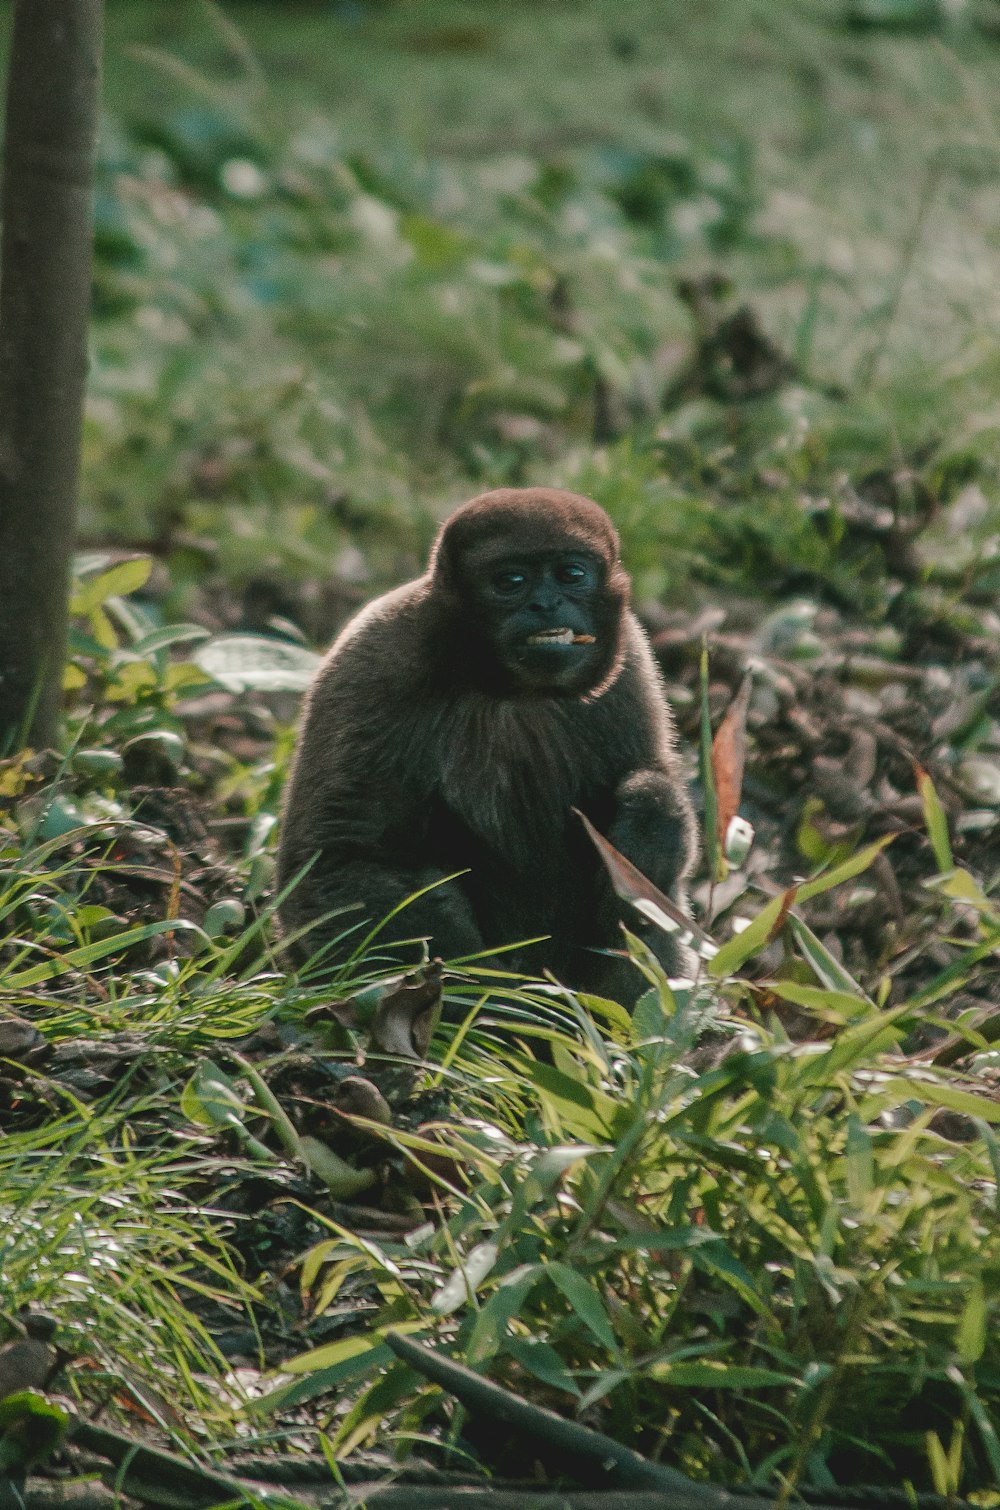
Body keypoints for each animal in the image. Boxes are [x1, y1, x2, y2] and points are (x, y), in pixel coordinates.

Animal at [274, 486, 697, 1002]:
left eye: (571, 574)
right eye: (510, 581)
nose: (546, 604)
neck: (511, 690)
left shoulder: (631, 661)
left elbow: (653, 785)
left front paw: (650, 825)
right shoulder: (375, 661)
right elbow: (338, 860)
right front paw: (494, 1001)